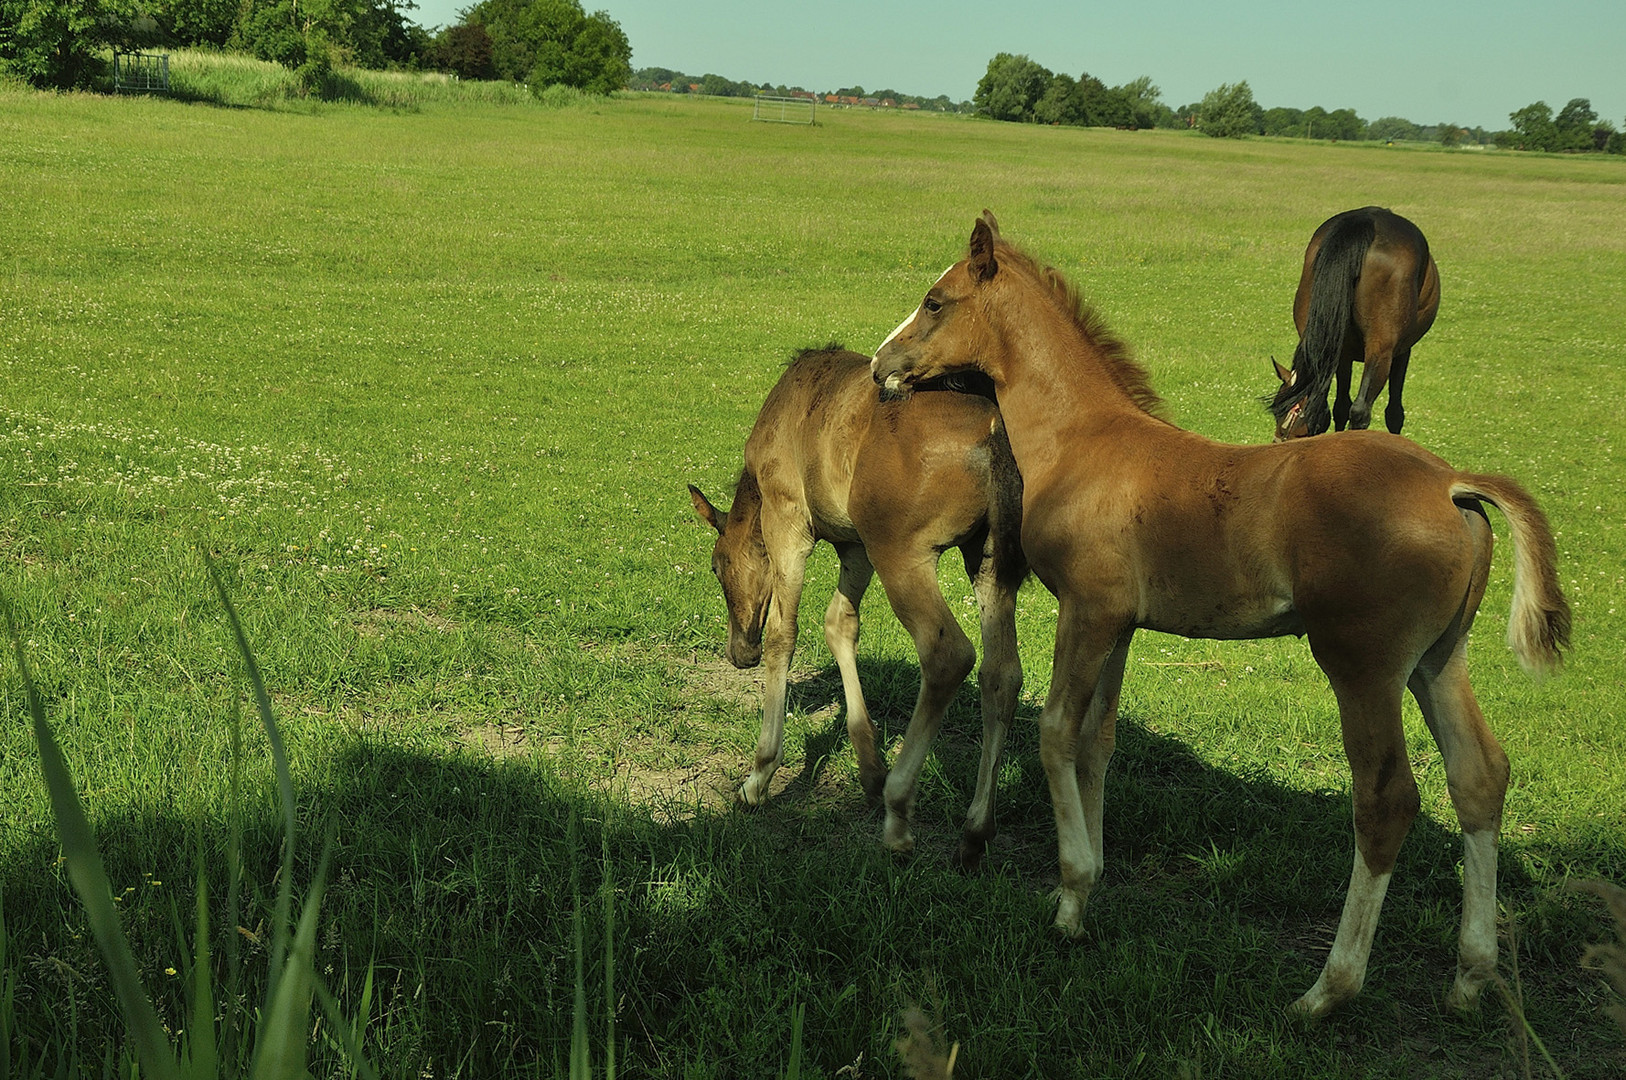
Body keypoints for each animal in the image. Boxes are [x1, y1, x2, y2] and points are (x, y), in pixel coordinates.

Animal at [689, 348, 1027, 871]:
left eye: (715, 566)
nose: (738, 652)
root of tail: (992, 431)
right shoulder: (855, 546)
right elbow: (839, 625)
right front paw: (869, 768)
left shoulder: (790, 523)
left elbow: (783, 634)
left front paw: (758, 777)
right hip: (987, 558)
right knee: (1002, 672)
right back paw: (974, 833)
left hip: (904, 554)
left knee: (948, 654)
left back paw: (899, 813)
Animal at [1261, 204, 1443, 442]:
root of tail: (1367, 221)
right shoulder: (1401, 351)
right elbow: (1393, 412)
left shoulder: (1342, 355)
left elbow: (1339, 407)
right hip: (1380, 350)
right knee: (1361, 410)